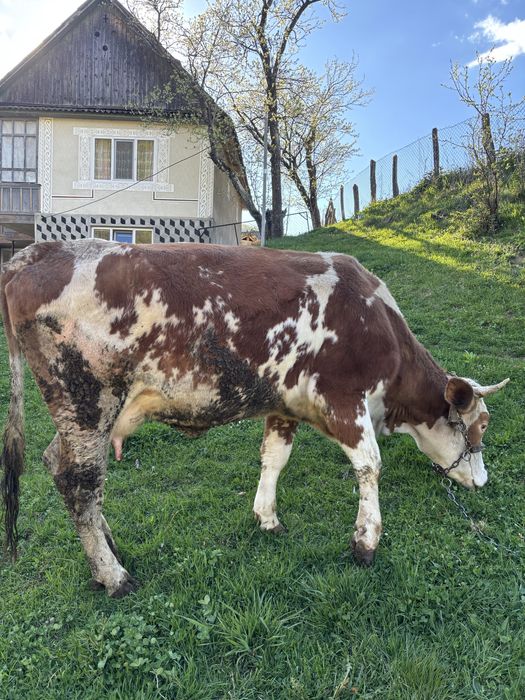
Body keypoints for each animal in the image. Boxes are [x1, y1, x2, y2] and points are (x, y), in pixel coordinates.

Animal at [1, 240, 508, 597]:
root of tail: (41, 250)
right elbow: (369, 465)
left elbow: (274, 458)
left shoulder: (285, 405)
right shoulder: (343, 399)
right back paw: (112, 574)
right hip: (87, 400)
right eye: (479, 426)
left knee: (59, 465)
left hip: (82, 416)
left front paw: (267, 517)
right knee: (79, 482)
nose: (483, 482)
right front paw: (366, 541)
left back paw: (108, 543)